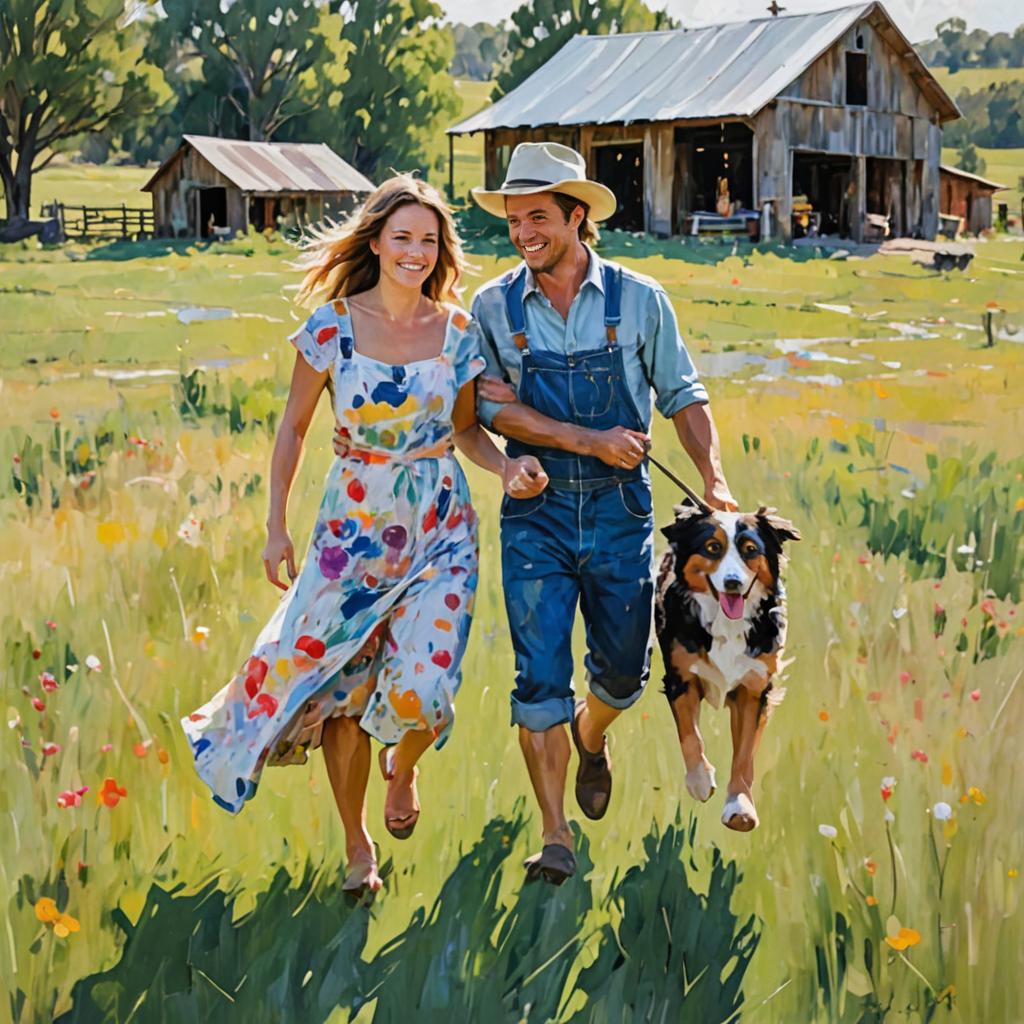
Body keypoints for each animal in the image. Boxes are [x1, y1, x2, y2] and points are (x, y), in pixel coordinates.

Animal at [655, 503, 798, 831]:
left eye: (750, 550)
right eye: (712, 548)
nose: (733, 583)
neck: (726, 624)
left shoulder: (754, 689)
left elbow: (744, 755)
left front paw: (740, 807)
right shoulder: (681, 678)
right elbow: (690, 735)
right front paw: (699, 780)